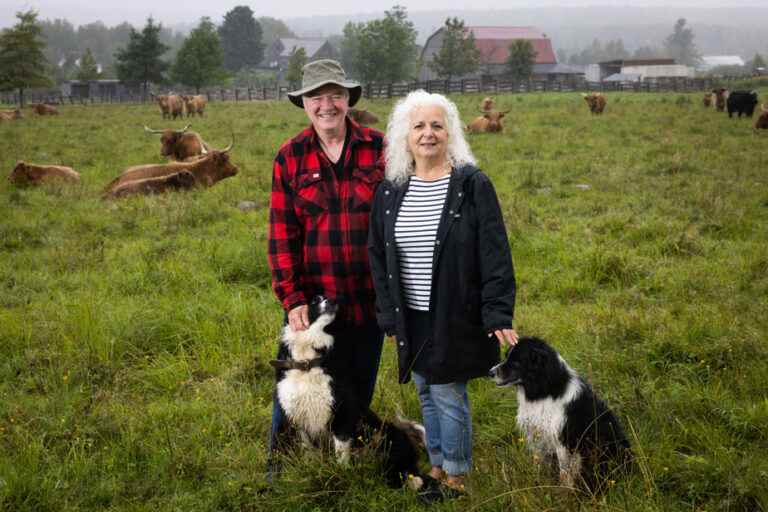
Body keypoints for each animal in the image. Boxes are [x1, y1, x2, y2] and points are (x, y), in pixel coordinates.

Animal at [268, 296, 426, 488]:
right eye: (314, 301)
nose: (333, 300)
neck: (307, 363)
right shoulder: (299, 417)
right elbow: (309, 452)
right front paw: (312, 468)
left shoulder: (342, 412)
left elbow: (341, 452)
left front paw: (341, 474)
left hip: (387, 435)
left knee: (401, 470)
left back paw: (413, 481)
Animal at [492, 336, 632, 492]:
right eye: (506, 357)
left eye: (516, 361)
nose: (490, 372)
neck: (544, 391)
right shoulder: (537, 435)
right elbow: (539, 463)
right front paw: (538, 481)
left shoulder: (563, 442)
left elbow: (565, 473)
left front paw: (564, 492)